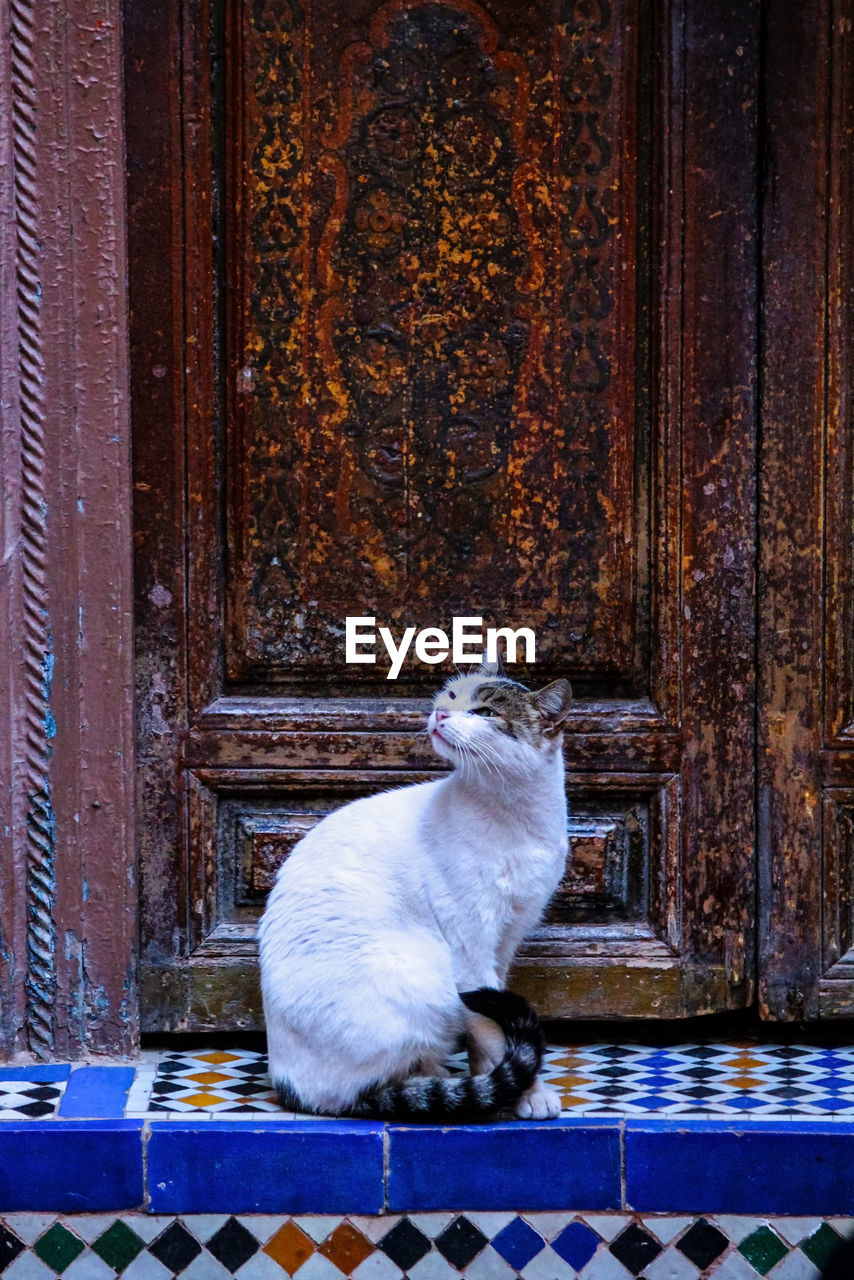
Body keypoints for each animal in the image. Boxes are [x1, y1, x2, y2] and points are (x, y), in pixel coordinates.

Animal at [257, 660, 571, 1121]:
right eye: (452, 698)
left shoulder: (506, 938)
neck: (517, 819)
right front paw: (522, 1093)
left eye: (485, 712)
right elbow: (493, 1033)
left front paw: (503, 1086)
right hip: (428, 978)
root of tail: (293, 1090)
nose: (440, 714)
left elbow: (491, 1029)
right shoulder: (469, 949)